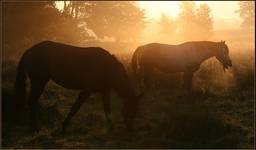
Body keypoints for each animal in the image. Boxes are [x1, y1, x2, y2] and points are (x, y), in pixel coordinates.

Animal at [14, 40, 142, 132]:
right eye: (131, 109)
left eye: (136, 110)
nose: (130, 129)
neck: (106, 67)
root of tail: (29, 50)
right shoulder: (86, 90)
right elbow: (75, 107)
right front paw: (64, 126)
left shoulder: (105, 91)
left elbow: (107, 110)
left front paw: (111, 128)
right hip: (39, 82)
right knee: (32, 101)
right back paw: (36, 127)